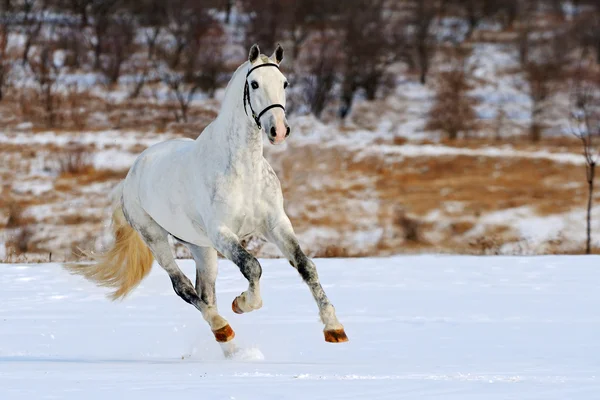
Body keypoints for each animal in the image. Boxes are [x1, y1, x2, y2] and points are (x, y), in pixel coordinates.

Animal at [67, 44, 346, 356]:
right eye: (254, 83)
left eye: (284, 83)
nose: (279, 131)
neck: (243, 171)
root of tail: (130, 176)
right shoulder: (222, 233)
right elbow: (252, 267)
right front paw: (243, 303)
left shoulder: (275, 225)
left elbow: (305, 266)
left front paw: (334, 328)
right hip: (157, 239)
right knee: (184, 287)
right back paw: (223, 328)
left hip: (201, 247)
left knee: (206, 292)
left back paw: (231, 349)